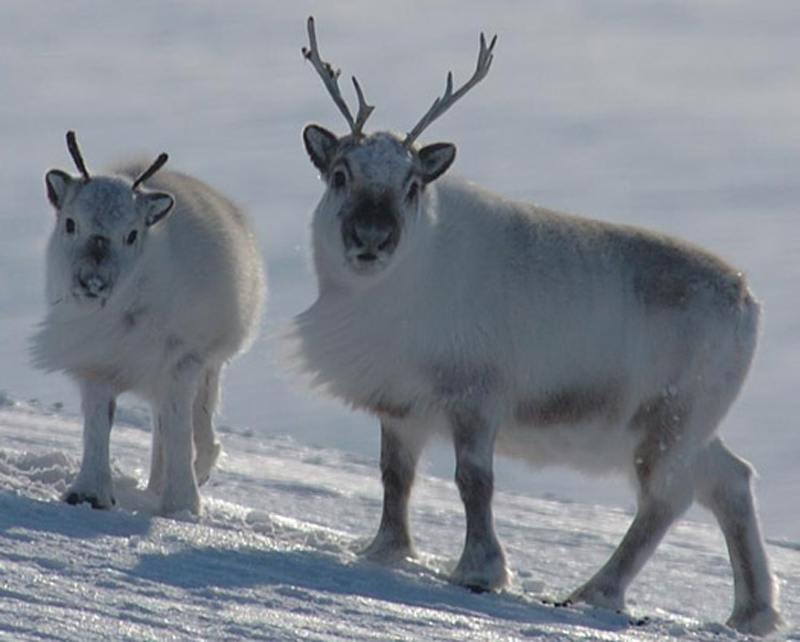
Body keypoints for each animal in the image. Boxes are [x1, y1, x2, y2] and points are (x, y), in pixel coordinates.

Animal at [31, 131, 266, 516]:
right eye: (70, 223)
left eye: (131, 234)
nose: (92, 281)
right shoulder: (95, 365)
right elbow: (98, 425)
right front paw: (88, 495)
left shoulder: (182, 362)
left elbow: (178, 431)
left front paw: (182, 506)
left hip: (207, 367)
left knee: (193, 426)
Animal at [285, 17, 784, 635]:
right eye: (339, 174)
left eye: (412, 185)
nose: (371, 239)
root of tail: (747, 298)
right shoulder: (399, 403)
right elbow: (394, 477)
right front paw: (385, 552)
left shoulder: (475, 397)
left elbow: (474, 481)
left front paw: (481, 570)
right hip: (690, 427)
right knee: (731, 480)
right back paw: (752, 612)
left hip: (670, 421)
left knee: (667, 500)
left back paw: (596, 592)